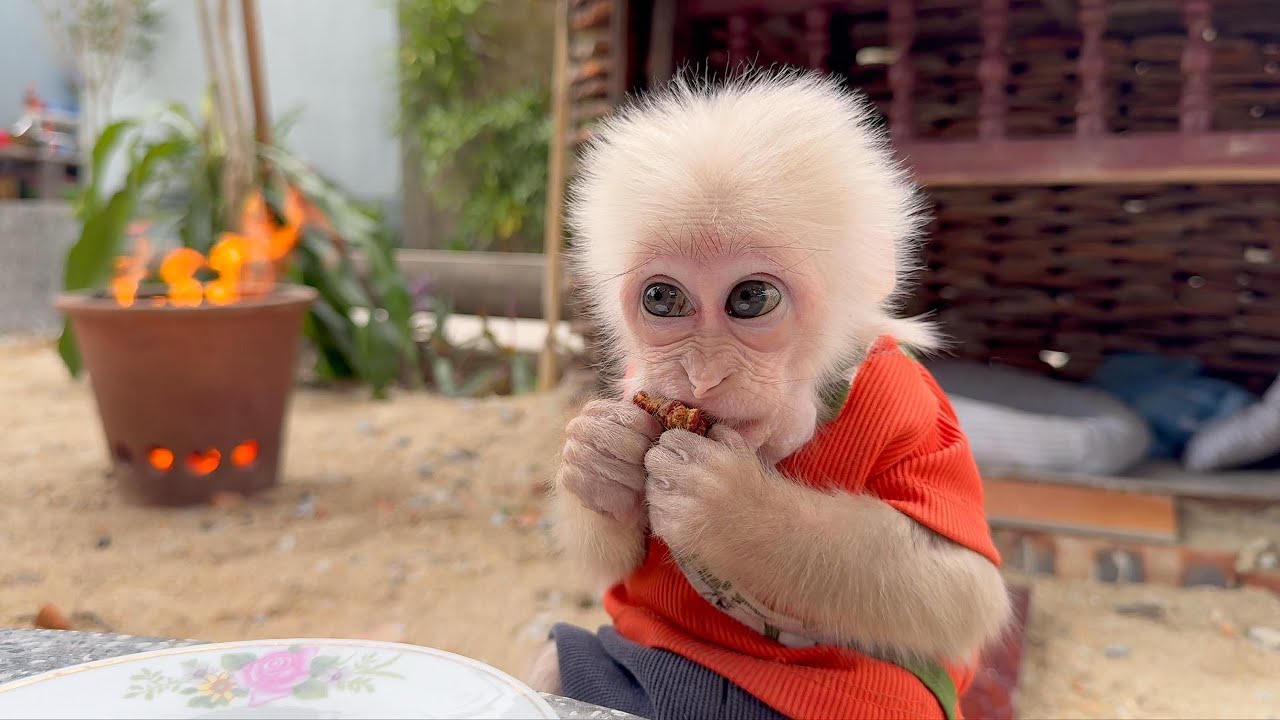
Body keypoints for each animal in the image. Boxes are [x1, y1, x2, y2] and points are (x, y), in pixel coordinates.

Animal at [530, 69, 1013, 720]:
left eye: (751, 299)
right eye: (662, 298)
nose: (703, 376)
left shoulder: (916, 407)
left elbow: (965, 593)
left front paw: (740, 514)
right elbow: (612, 564)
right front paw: (599, 456)